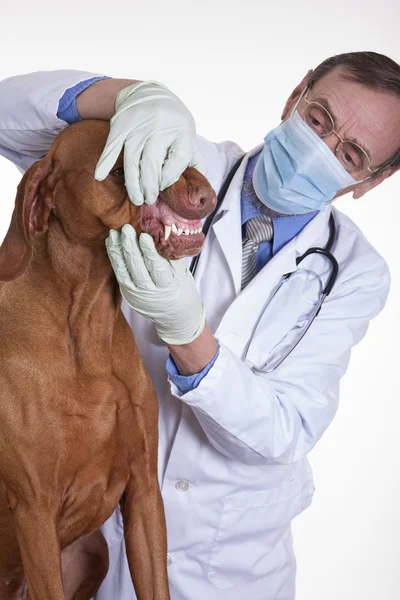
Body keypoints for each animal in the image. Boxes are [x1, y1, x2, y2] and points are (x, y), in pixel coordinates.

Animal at [0, 120, 216, 600]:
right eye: (123, 169)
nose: (206, 194)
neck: (86, 330)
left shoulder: (144, 492)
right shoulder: (35, 511)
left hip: (95, 550)